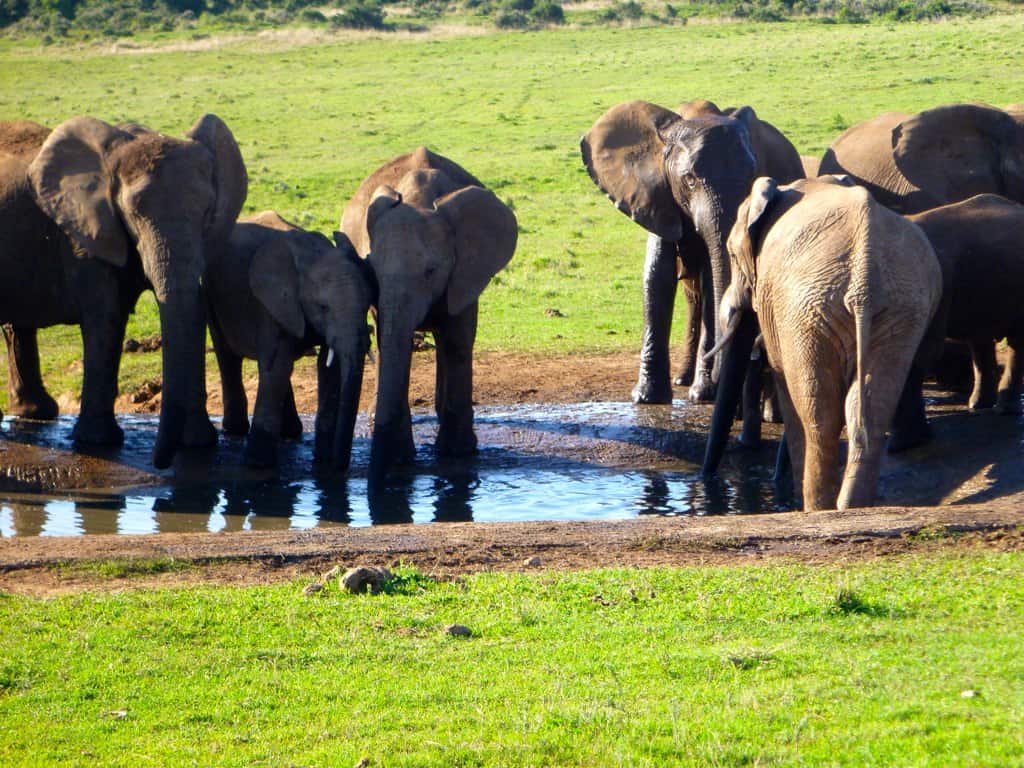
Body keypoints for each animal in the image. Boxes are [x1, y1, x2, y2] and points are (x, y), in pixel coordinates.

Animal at [0, 115, 247, 468]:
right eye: (134, 214)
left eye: (207, 211)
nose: (160, 464)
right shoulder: (84, 236)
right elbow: (107, 317)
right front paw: (98, 442)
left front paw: (198, 444)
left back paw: (36, 413)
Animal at [205, 211, 375, 469]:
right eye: (323, 307)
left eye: (367, 305)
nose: (340, 465)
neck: (312, 253)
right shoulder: (272, 304)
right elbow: (277, 366)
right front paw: (258, 465)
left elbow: (329, 369)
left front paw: (323, 463)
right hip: (211, 293)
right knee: (229, 354)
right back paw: (235, 430)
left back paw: (291, 432)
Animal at [340, 147, 517, 483]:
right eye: (372, 269)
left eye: (431, 271)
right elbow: (390, 343)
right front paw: (402, 457)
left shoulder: (466, 269)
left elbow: (458, 340)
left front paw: (458, 453)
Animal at [581, 99, 804, 404]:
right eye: (688, 179)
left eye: (752, 177)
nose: (720, 379)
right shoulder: (656, 195)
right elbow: (657, 276)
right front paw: (646, 398)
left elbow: (710, 279)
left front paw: (703, 393)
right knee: (691, 297)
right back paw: (682, 379)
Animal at [703, 175, 942, 511]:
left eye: (733, 255)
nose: (707, 478)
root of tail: (864, 282)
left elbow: (786, 386)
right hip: (901, 310)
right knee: (869, 409)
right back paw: (851, 507)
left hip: (808, 311)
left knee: (819, 418)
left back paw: (815, 508)